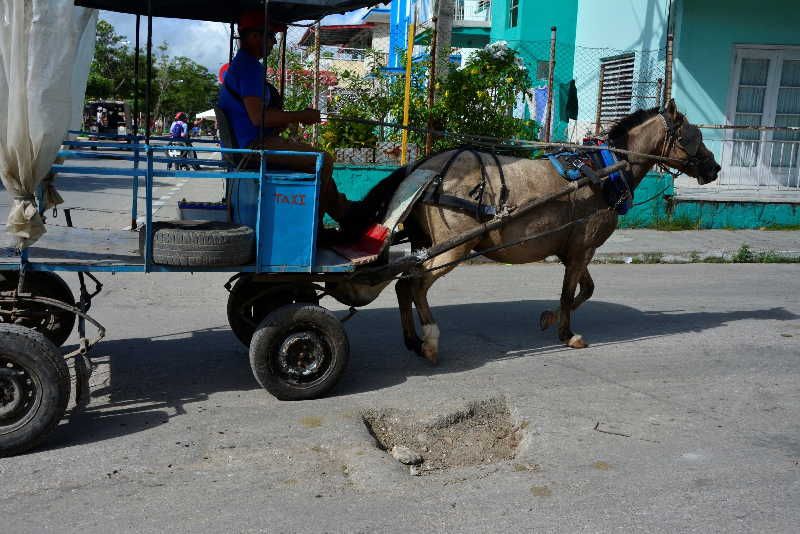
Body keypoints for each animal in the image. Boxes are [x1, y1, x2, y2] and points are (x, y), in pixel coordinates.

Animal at [334, 101, 720, 364]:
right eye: (692, 137)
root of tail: (424, 168)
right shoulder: (582, 250)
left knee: (403, 287)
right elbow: (569, 293)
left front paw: (549, 319)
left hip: (425, 244)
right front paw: (567, 334)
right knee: (415, 285)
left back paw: (413, 341)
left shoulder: (576, 248)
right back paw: (429, 340)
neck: (604, 169)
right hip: (451, 248)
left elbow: (586, 290)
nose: (714, 168)